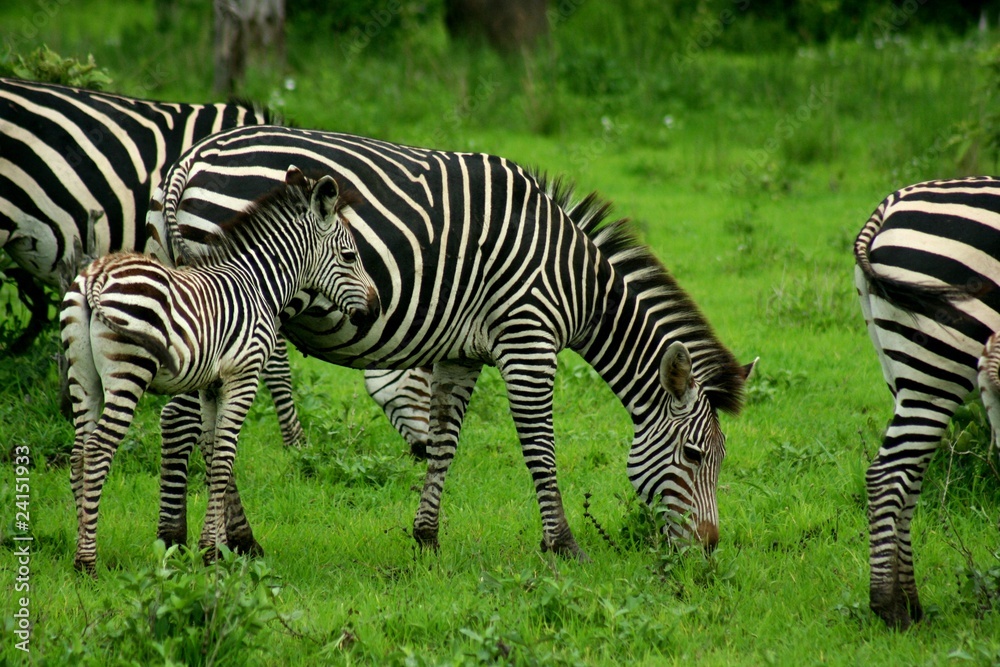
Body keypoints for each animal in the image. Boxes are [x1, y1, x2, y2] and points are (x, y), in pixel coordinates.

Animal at [59, 168, 378, 576]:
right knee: (99, 449)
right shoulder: (243, 376)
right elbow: (225, 458)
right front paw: (214, 553)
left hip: (82, 375)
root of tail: (96, 278)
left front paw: (212, 546)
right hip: (128, 373)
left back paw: (77, 548)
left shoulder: (211, 385)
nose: (375, 307)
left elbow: (211, 456)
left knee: (79, 453)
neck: (259, 283)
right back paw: (88, 561)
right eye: (350, 255)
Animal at [148, 124, 752, 560]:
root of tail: (190, 162)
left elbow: (444, 443)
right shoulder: (528, 340)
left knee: (189, 421)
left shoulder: (461, 354)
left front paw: (427, 537)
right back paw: (213, 540)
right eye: (695, 455)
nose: (709, 548)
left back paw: (197, 537)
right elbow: (540, 448)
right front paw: (563, 546)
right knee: (192, 425)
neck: (575, 281)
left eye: (721, 459)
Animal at [852, 175, 1000, 628]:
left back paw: (909, 603)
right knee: (889, 474)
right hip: (937, 365)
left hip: (902, 367)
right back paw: (889, 607)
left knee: (908, 477)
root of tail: (888, 206)